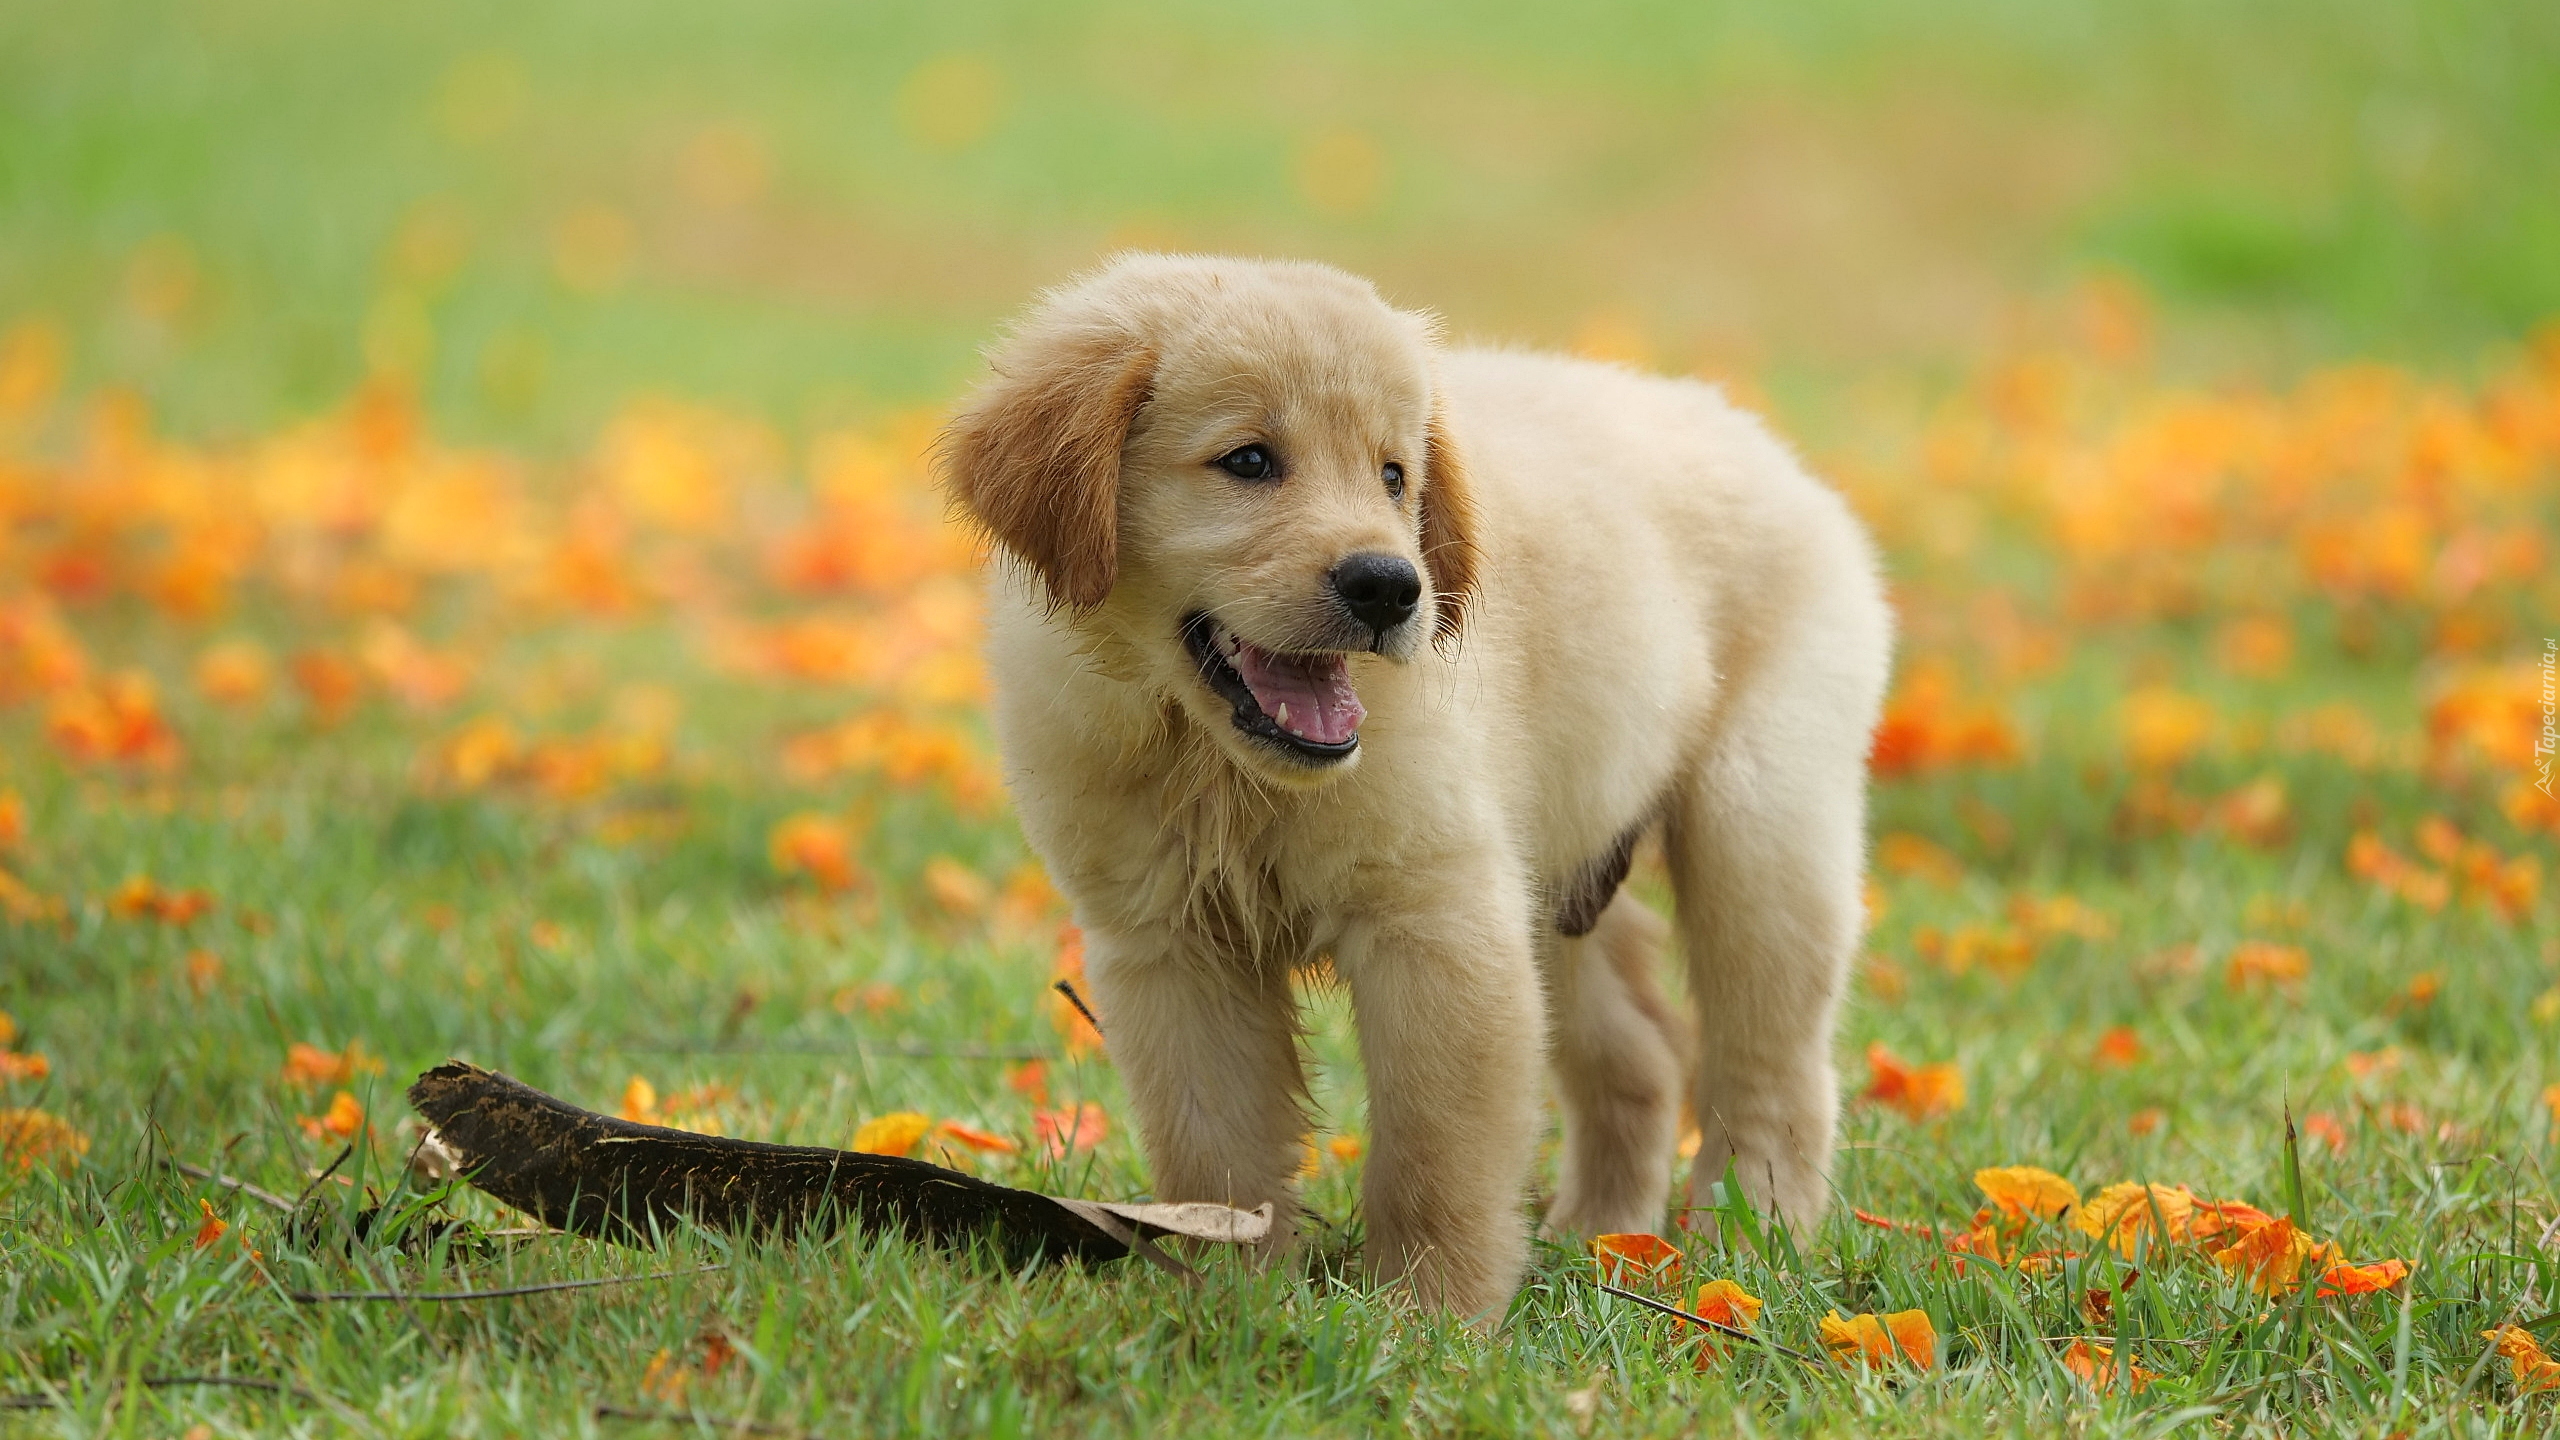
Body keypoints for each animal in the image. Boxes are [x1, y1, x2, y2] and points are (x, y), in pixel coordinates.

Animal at [947, 249, 1904, 1311]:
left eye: (1393, 475)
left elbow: (1435, 1152)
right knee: (1644, 1055)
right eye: (1249, 461)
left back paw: (1749, 1244)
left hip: (1761, 827)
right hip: (1556, 878)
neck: (1219, 768)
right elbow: (1215, 1152)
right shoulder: (1171, 945)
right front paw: (1231, 1298)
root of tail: (1765, 446)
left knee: (1772, 1069)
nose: (1391, 588)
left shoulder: (1439, 918)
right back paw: (1601, 1240)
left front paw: (1427, 1315)